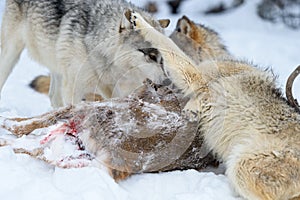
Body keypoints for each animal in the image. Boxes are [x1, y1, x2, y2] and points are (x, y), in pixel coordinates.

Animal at [0, 0, 171, 108]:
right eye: (150, 55)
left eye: (164, 57)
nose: (168, 82)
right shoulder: (74, 88)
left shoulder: (114, 89)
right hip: (11, 52)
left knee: (53, 97)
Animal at [128, 10, 300, 200]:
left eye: (156, 56)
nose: (143, 53)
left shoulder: (196, 77)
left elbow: (166, 43)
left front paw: (139, 21)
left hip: (241, 166)